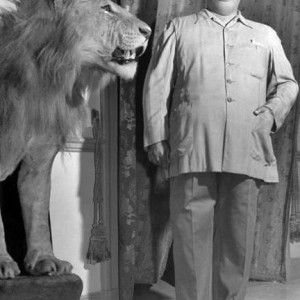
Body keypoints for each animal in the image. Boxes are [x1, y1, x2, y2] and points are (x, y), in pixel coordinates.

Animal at [0, 0, 151, 278]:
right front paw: (3, 263)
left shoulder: (39, 160)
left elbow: (38, 210)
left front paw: (45, 260)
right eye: (105, 8)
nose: (148, 31)